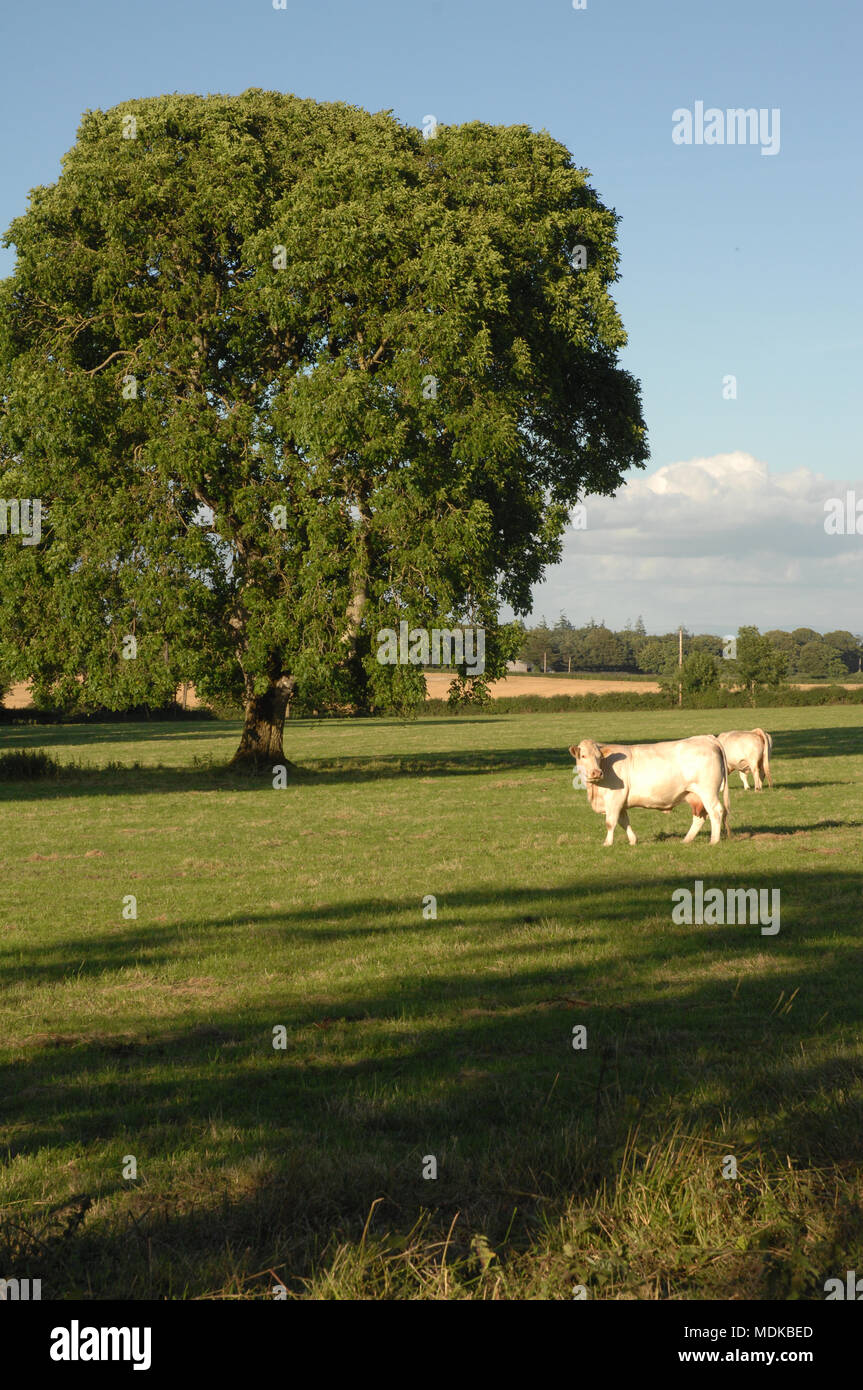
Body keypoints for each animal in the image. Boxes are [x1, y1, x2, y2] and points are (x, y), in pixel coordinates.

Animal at [569, 739, 728, 845]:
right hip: (694, 795)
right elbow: (624, 822)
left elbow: (610, 822)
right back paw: (686, 840)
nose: (597, 772)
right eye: (583, 756)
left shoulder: (614, 799)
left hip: (708, 792)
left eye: (599, 757)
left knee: (716, 812)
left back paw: (714, 841)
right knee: (700, 816)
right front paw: (633, 841)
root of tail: (706, 738)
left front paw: (607, 843)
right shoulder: (620, 803)